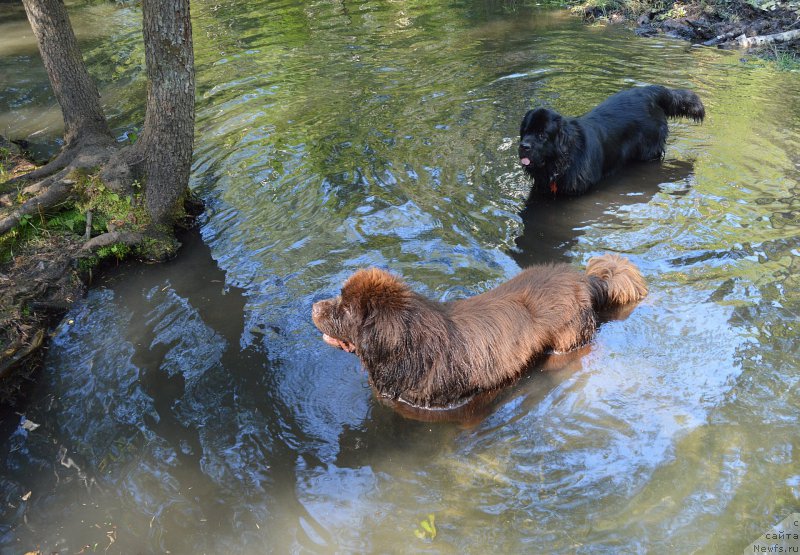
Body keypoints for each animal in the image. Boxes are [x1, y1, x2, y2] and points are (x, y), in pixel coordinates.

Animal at [520, 86, 700, 197]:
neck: (560, 161)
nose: (524, 146)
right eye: (525, 131)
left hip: (648, 149)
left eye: (542, 135)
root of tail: (650, 90)